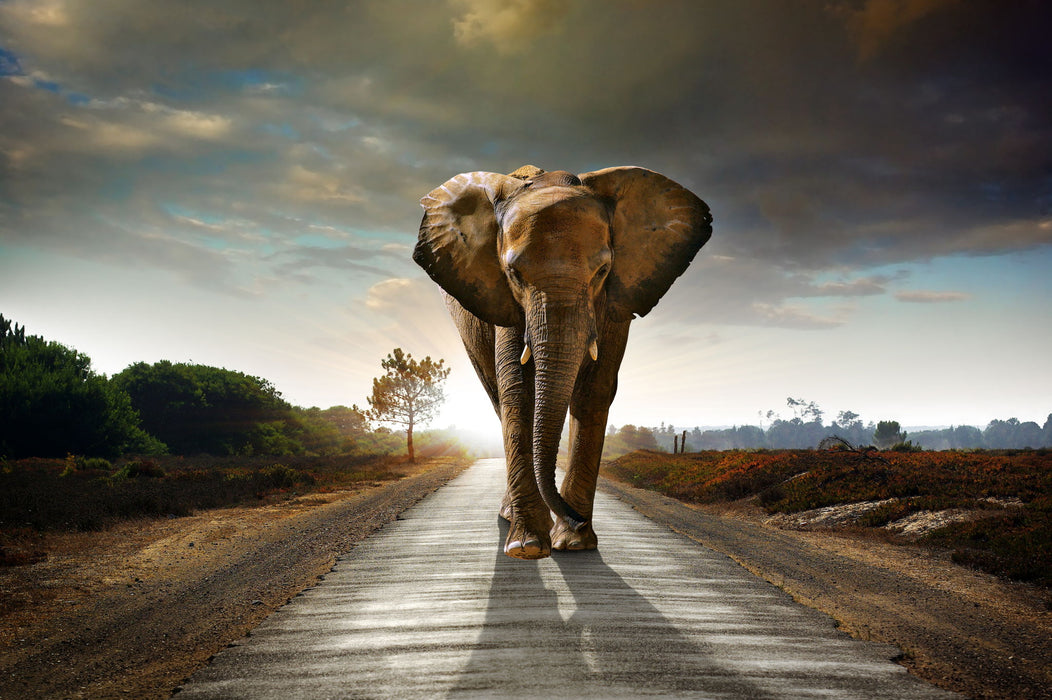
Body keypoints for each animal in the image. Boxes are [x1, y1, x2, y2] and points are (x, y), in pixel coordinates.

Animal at [414, 164, 712, 559]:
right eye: (514, 274)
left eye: (602, 271)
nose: (576, 518)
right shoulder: (506, 302)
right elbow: (519, 391)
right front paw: (527, 547)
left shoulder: (615, 301)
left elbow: (594, 390)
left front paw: (574, 543)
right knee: (497, 396)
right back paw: (512, 518)